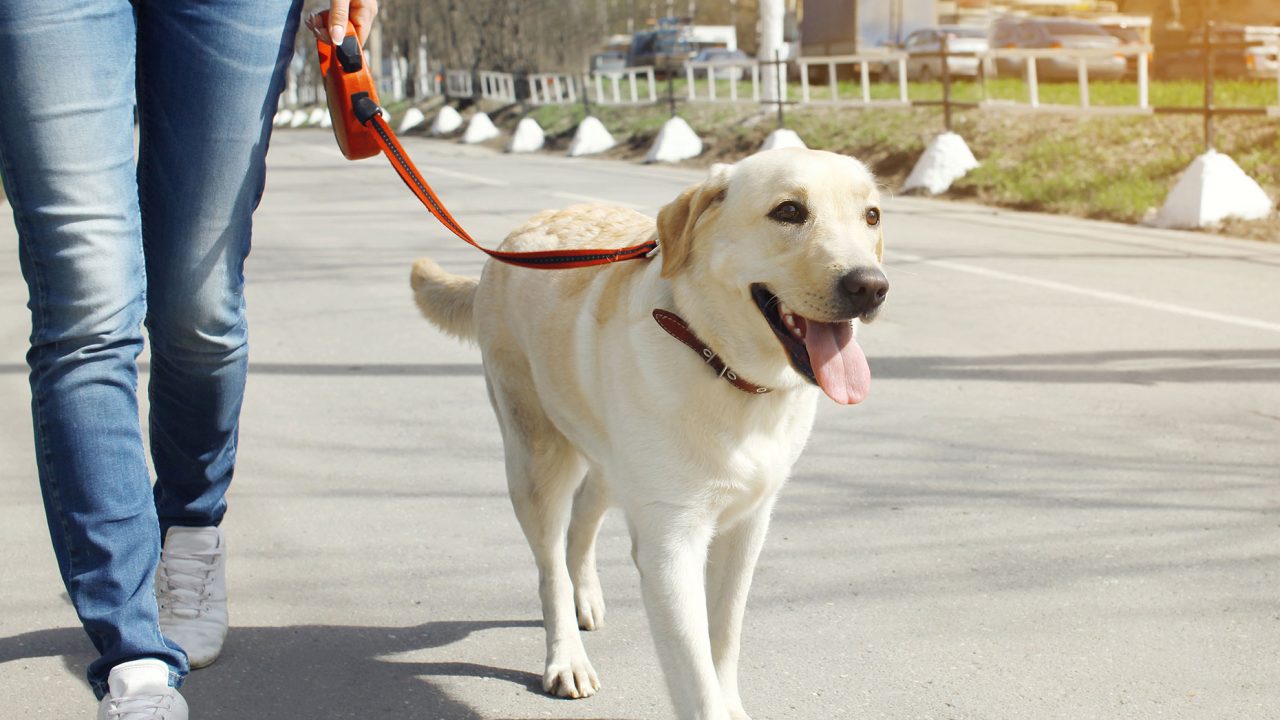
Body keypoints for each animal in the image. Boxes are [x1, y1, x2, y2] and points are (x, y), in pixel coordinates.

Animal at [412, 148, 890, 712]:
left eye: (872, 216)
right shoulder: (671, 544)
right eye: (789, 212)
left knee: (583, 517)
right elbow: (697, 679)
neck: (719, 364)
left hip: (608, 456)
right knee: (550, 566)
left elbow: (724, 637)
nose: (871, 286)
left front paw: (732, 700)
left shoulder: (748, 526)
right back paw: (566, 656)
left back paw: (586, 595)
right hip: (535, 457)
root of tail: (511, 240)